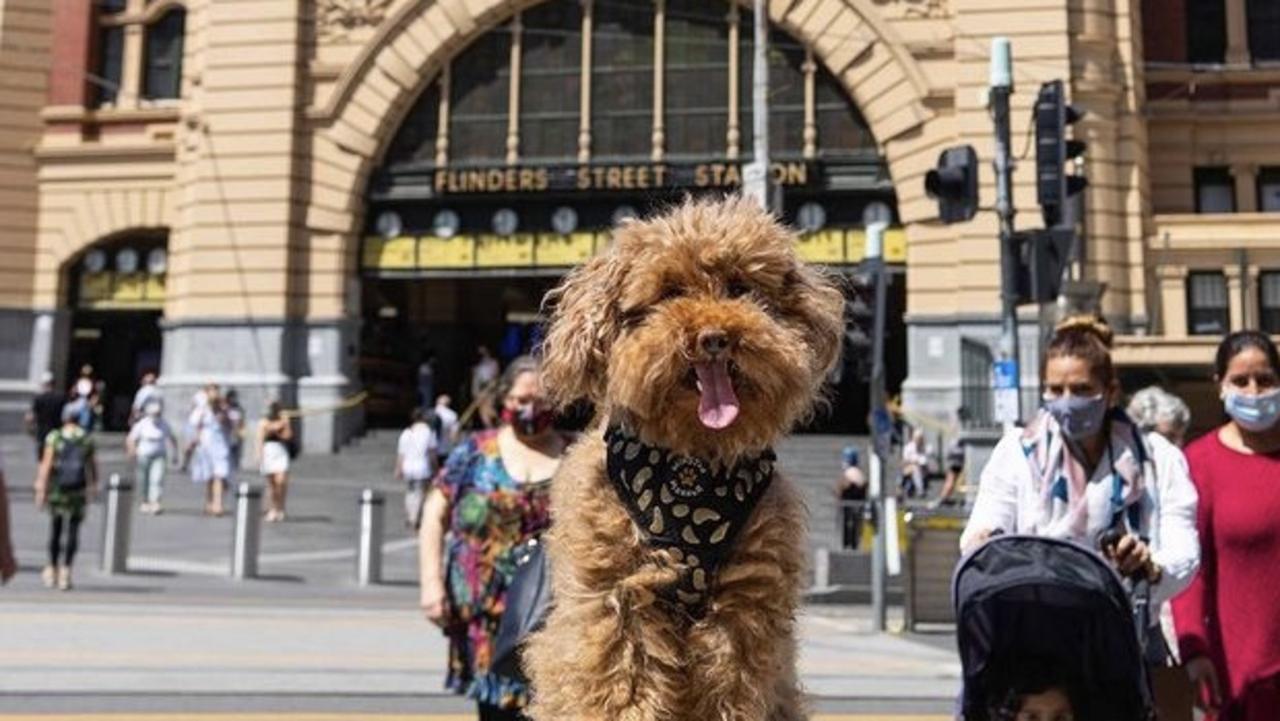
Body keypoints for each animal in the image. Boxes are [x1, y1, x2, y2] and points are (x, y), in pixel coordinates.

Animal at [524, 195, 844, 721]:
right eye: (670, 291)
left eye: (740, 289)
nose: (715, 337)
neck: (690, 463)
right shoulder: (618, 599)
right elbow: (622, 682)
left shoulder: (744, 606)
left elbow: (730, 685)